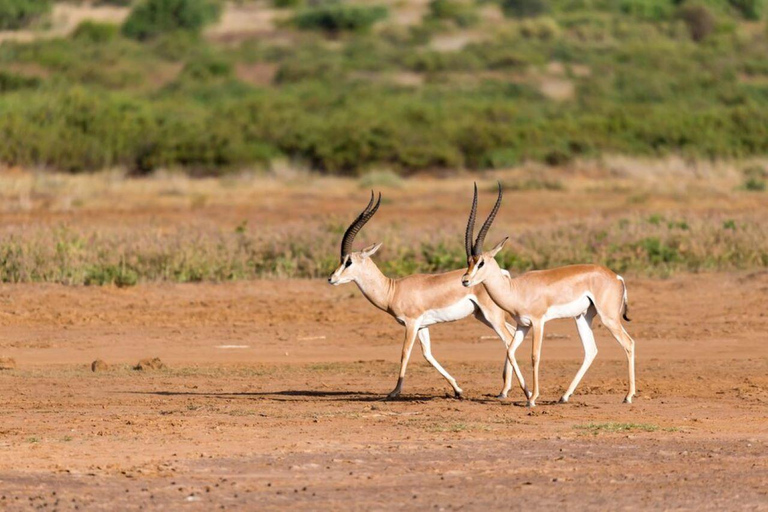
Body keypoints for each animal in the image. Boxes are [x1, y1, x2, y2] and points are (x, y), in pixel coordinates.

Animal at [330, 191, 536, 400]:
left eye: (348, 261)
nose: (331, 279)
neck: (393, 290)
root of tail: (503, 273)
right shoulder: (423, 326)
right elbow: (427, 354)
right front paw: (457, 389)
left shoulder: (412, 323)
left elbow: (405, 352)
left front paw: (394, 391)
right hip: (482, 316)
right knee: (512, 334)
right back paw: (505, 389)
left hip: (491, 316)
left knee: (508, 339)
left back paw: (508, 391)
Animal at [462, 185, 636, 408]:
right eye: (468, 261)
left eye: (481, 262)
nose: (465, 280)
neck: (517, 289)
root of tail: (616, 276)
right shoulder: (523, 325)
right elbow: (511, 350)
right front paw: (526, 393)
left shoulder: (538, 323)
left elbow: (535, 355)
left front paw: (532, 399)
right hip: (582, 317)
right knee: (591, 350)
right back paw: (564, 396)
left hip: (609, 318)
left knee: (628, 343)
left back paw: (628, 396)